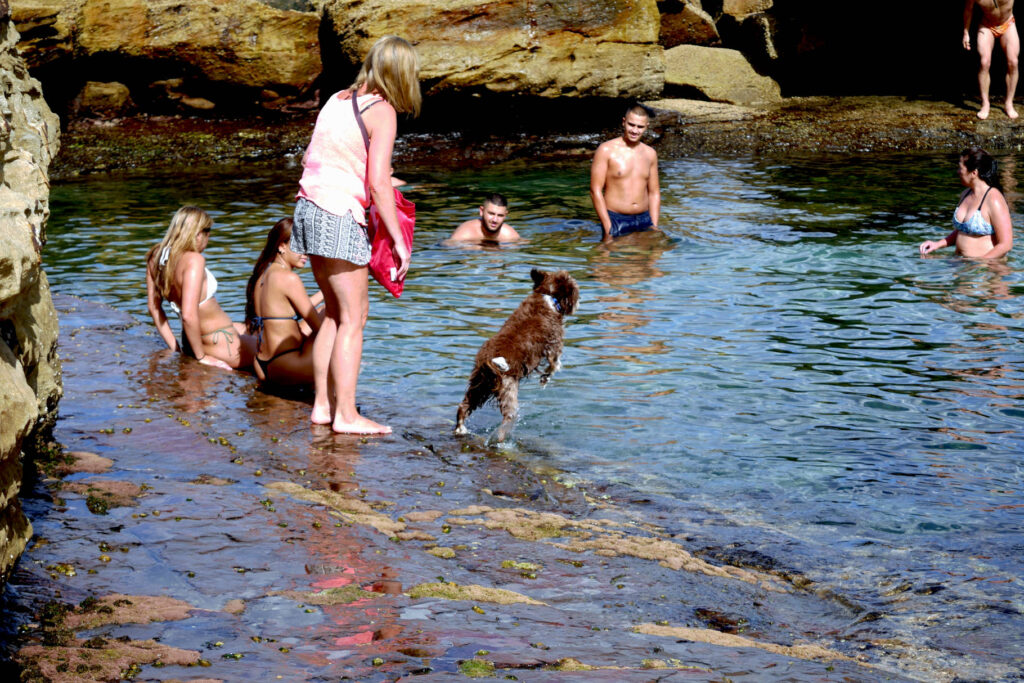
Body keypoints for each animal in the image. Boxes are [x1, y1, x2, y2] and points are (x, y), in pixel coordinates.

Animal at [454, 266, 577, 438]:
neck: (548, 296)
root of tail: (488, 361)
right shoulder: (554, 345)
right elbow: (553, 365)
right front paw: (545, 378)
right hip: (507, 389)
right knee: (507, 417)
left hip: (478, 386)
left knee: (464, 406)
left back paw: (461, 429)